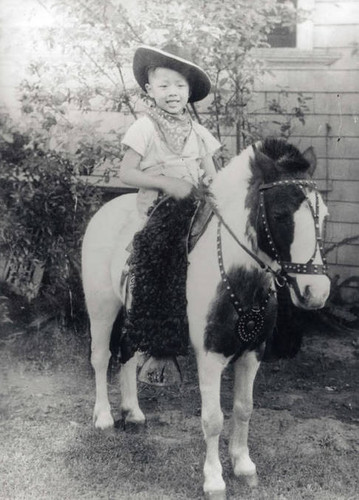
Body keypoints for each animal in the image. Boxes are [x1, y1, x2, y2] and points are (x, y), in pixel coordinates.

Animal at [83, 140, 330, 496]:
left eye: (324, 216)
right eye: (281, 215)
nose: (316, 292)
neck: (238, 275)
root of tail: (107, 210)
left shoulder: (253, 353)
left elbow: (244, 408)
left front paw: (244, 465)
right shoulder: (210, 357)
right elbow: (213, 419)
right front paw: (214, 480)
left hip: (135, 313)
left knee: (127, 354)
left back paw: (133, 412)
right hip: (101, 306)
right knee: (102, 357)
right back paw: (103, 416)